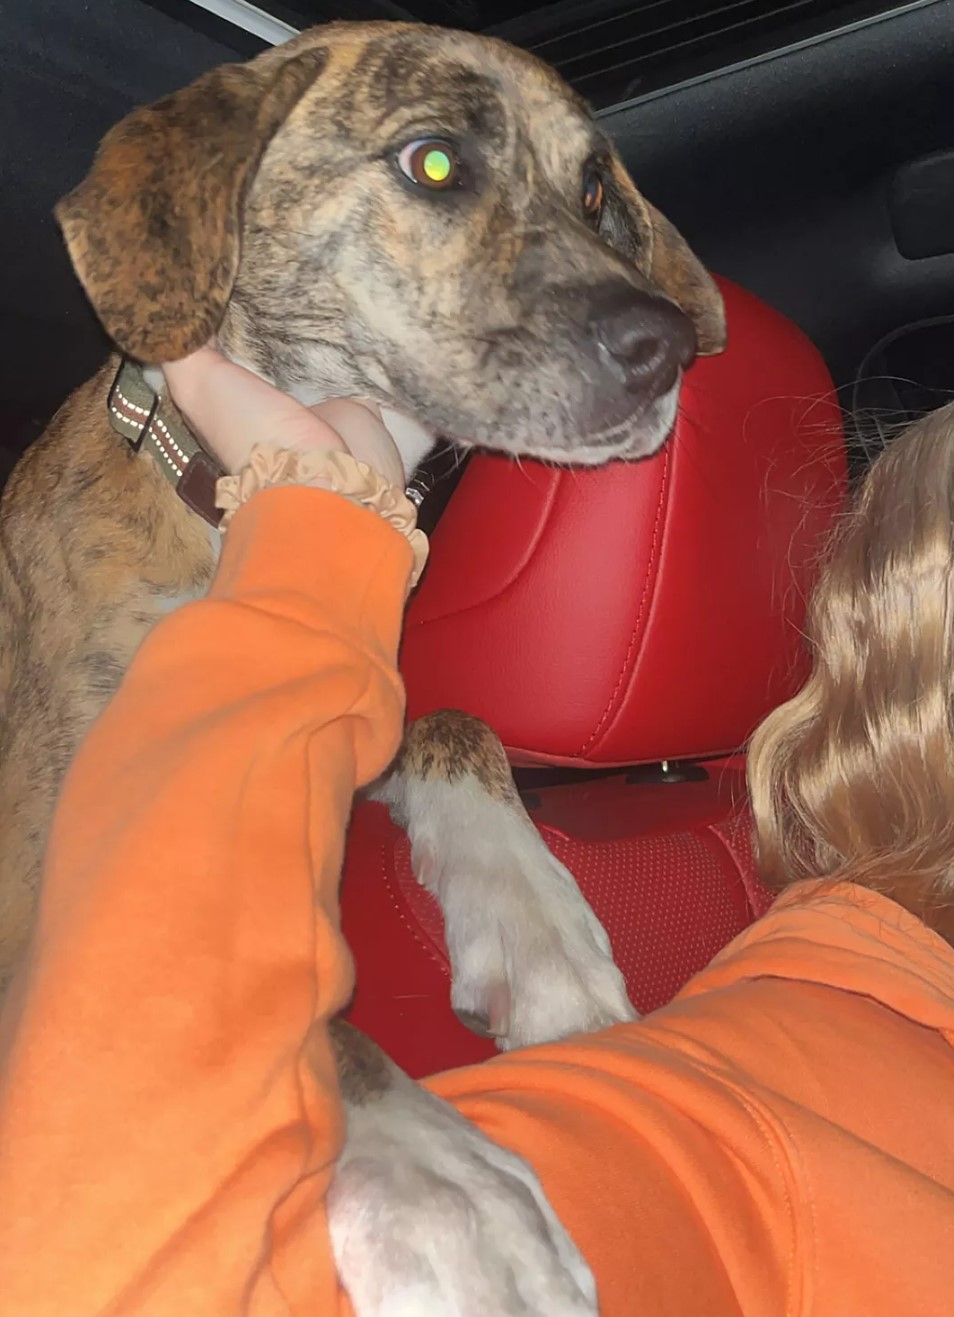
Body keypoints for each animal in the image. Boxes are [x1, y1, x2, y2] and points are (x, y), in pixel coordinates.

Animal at [0, 20, 722, 1317]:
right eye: (433, 163)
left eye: (596, 188)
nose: (668, 349)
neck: (230, 509)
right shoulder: (46, 907)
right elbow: (289, 1009)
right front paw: (445, 1178)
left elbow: (454, 719)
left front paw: (539, 927)